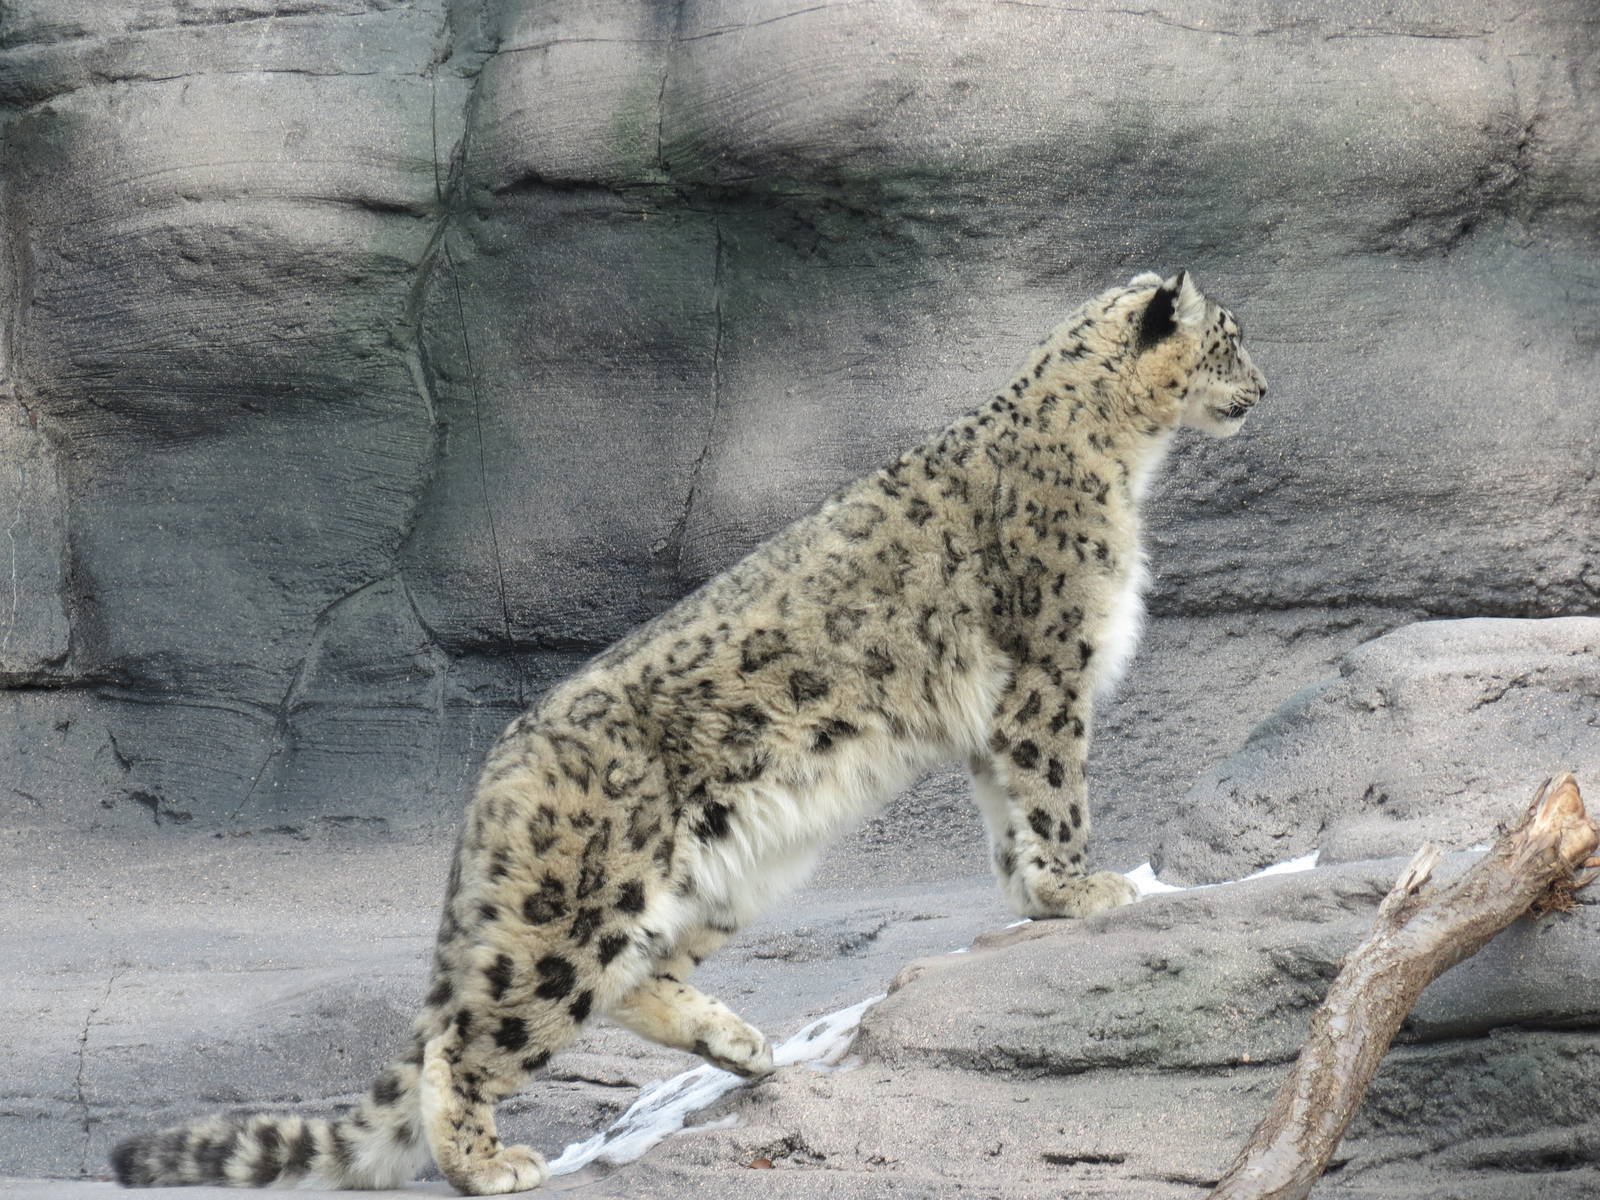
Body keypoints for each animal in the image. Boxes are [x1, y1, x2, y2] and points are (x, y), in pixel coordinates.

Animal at [112, 270, 1266, 1194]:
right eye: (1230, 338)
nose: (1263, 391)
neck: (1119, 456)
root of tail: (498, 770)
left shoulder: (1006, 711)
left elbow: (1010, 817)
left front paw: (1038, 895)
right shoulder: (1048, 672)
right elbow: (1053, 791)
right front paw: (1087, 886)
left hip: (721, 873)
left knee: (626, 979)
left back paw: (741, 1044)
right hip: (574, 901)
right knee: (474, 1034)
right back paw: (491, 1163)